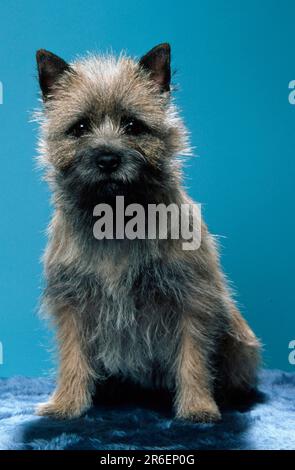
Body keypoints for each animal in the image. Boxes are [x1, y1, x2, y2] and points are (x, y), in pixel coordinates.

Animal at [35, 42, 262, 420]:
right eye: (79, 127)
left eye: (133, 125)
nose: (107, 159)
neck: (115, 218)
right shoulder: (73, 304)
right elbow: (73, 356)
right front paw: (66, 403)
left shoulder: (192, 299)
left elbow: (193, 357)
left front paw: (197, 406)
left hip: (239, 337)